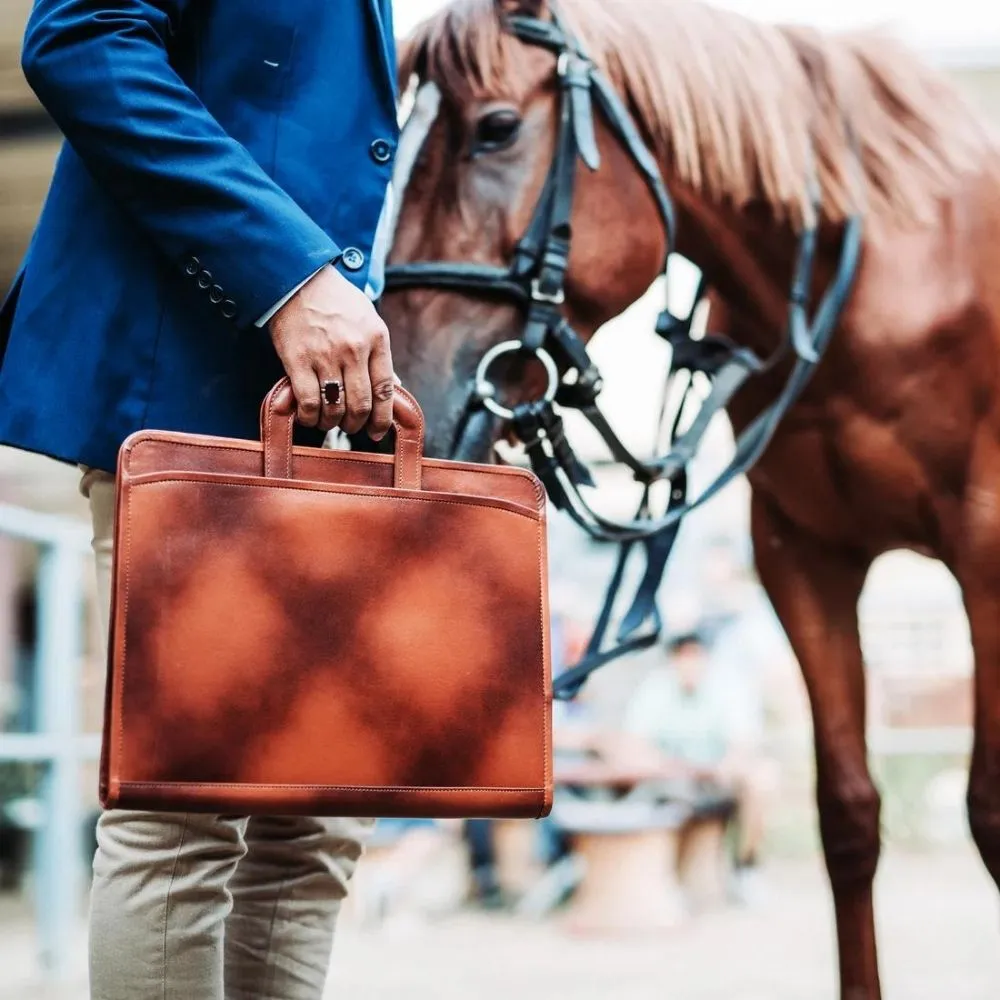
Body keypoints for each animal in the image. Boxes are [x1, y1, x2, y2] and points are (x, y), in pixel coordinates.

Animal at [380, 3, 1000, 996]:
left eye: (497, 128)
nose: (408, 393)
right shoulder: (804, 560)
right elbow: (848, 817)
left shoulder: (985, 557)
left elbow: (990, 812)